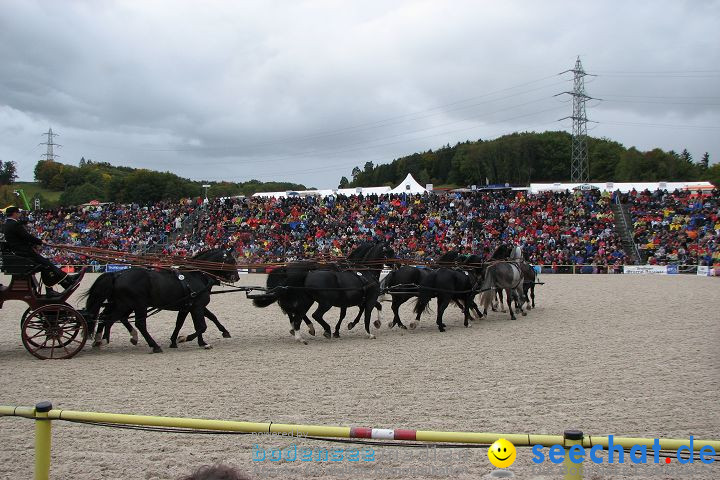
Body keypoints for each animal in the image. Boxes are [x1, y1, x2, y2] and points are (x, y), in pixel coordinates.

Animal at [84, 249, 236, 350]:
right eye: (232, 260)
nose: (237, 276)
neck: (196, 275)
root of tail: (117, 274)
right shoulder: (197, 306)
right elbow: (202, 326)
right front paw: (185, 339)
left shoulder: (187, 307)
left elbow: (185, 323)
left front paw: (181, 341)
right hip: (135, 305)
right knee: (133, 323)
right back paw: (153, 345)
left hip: (123, 305)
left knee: (108, 317)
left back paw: (103, 339)